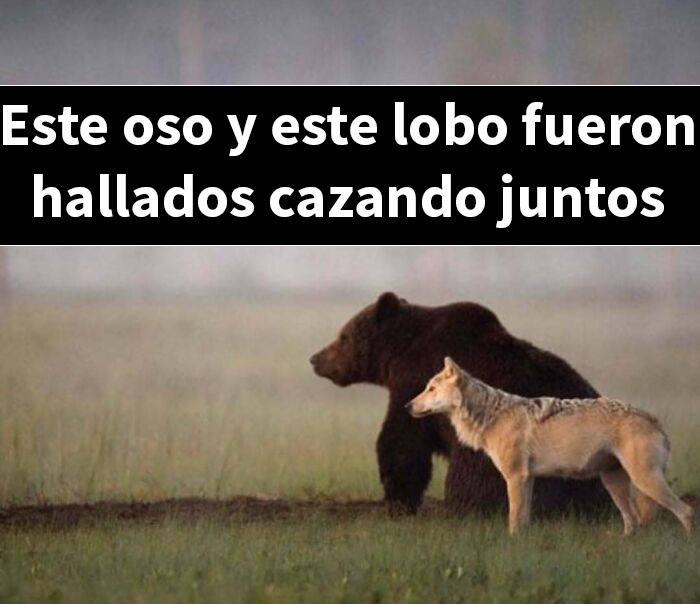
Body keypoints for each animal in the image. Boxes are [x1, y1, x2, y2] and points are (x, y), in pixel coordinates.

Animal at [310, 291, 611, 516]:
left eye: (344, 336)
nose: (315, 358)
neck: (399, 353)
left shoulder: (414, 382)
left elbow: (402, 443)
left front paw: (398, 500)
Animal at [408, 357, 694, 536]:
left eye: (430, 388)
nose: (407, 406)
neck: (490, 416)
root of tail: (653, 418)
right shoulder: (527, 478)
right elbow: (523, 519)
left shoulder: (516, 477)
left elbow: (513, 519)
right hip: (614, 483)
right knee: (633, 522)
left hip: (644, 481)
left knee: (687, 512)